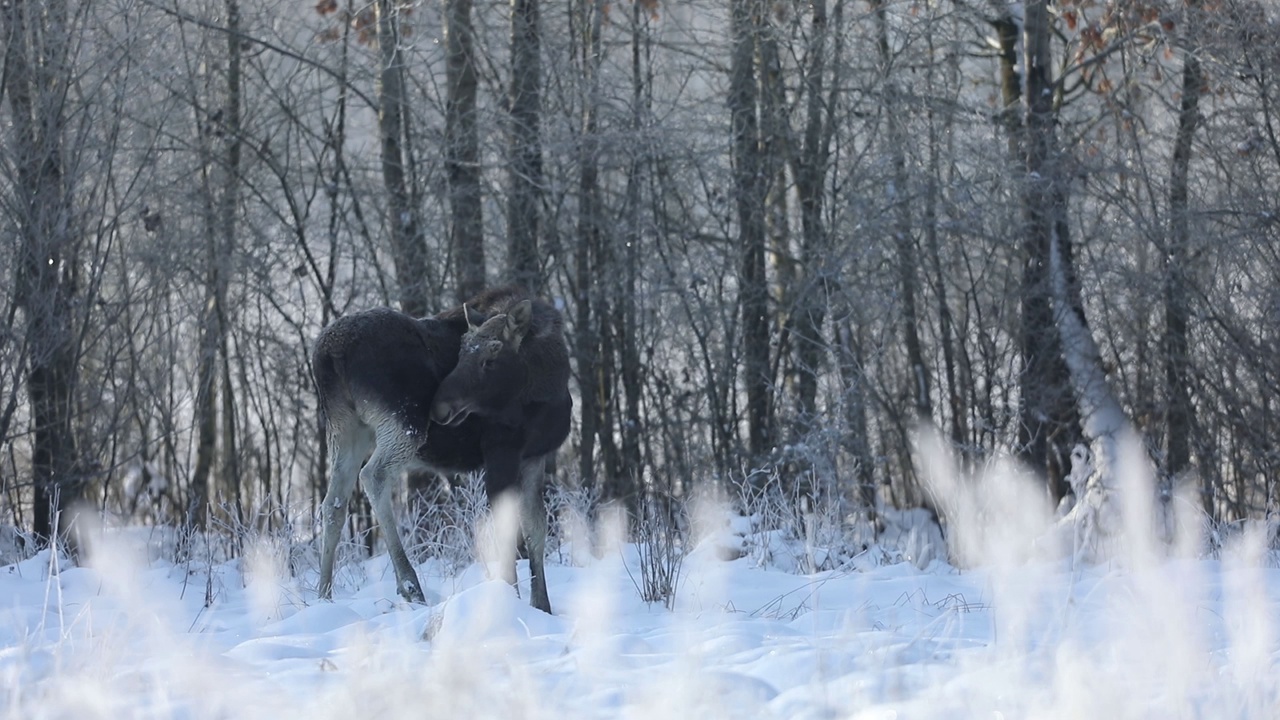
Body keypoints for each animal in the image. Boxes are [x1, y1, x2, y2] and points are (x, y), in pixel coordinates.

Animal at [309, 285, 570, 609]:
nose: (441, 406)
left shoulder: (534, 456)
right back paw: (409, 585)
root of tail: (328, 356)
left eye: (491, 358)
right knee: (373, 476)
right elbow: (507, 528)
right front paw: (509, 597)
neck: (547, 384)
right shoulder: (501, 451)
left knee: (333, 502)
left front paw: (542, 606)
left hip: (346, 429)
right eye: (461, 351)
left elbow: (535, 527)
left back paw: (323, 596)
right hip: (403, 422)